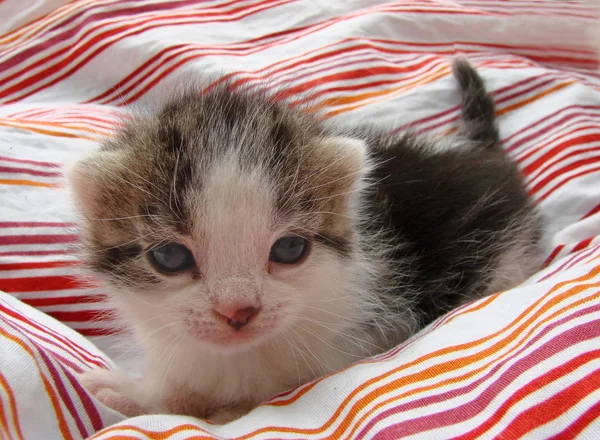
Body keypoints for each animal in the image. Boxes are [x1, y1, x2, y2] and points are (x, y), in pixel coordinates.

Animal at [70, 58, 544, 422]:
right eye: (170, 256)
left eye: (290, 249)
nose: (237, 311)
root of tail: (481, 155)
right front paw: (134, 393)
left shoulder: (366, 336)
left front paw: (156, 399)